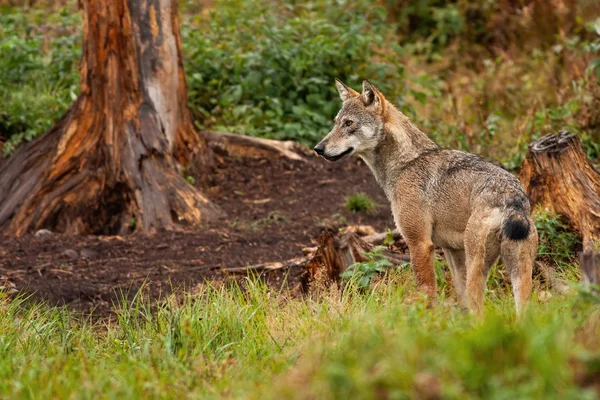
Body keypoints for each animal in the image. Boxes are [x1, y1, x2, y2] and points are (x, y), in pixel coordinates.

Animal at [314, 79, 540, 318]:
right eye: (336, 123)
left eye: (349, 123)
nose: (318, 148)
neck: (405, 164)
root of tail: (513, 199)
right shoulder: (452, 251)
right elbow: (460, 299)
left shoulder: (419, 243)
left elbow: (427, 295)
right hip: (519, 275)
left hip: (478, 265)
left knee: (480, 312)